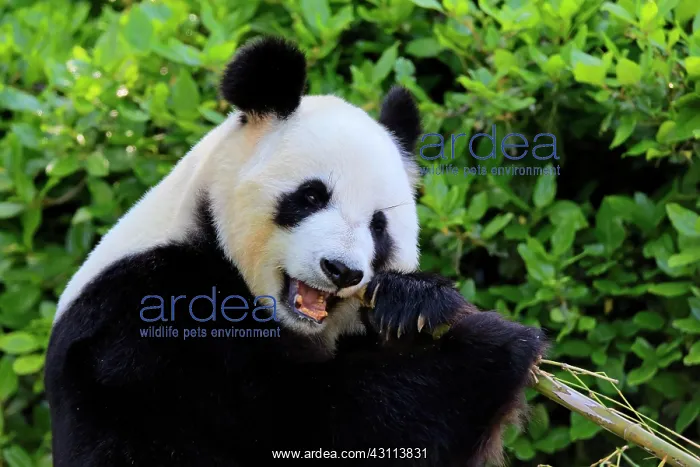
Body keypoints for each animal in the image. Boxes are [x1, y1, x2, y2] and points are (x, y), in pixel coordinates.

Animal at [45, 36, 547, 467]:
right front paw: (497, 344)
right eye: (310, 196)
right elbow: (301, 425)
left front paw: (416, 303)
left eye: (379, 226)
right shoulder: (146, 322)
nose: (342, 270)